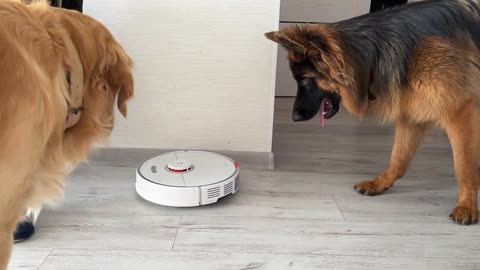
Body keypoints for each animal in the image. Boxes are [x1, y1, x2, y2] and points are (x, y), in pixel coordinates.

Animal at [266, 0, 480, 226]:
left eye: (306, 80)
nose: (294, 117)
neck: (375, 56)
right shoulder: (412, 114)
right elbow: (398, 157)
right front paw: (380, 184)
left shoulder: (460, 112)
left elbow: (463, 165)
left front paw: (466, 205)